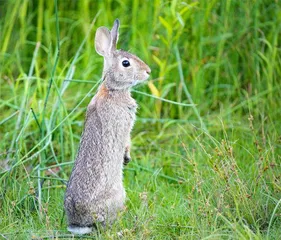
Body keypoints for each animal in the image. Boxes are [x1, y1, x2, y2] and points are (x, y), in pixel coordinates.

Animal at [63, 19, 151, 234]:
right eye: (126, 63)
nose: (148, 71)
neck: (113, 89)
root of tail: (80, 223)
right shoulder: (124, 126)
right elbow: (127, 140)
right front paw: (127, 157)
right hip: (118, 196)